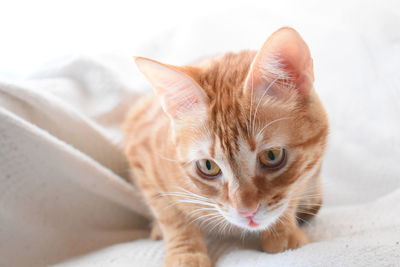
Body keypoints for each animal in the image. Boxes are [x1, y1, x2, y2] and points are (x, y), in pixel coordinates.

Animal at [124, 26, 328, 266]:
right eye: (208, 166)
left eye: (272, 155)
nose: (246, 211)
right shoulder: (140, 153)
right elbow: (171, 216)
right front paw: (185, 254)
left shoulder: (308, 172)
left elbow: (291, 193)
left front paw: (282, 232)